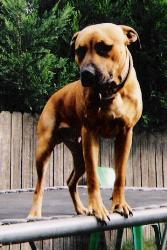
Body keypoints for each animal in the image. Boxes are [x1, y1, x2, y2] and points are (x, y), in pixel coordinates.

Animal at [28, 23, 142, 221]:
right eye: (79, 51)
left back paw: (81, 209)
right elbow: (93, 178)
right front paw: (97, 208)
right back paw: (35, 214)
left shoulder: (125, 134)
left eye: (104, 47)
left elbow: (120, 176)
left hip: (79, 155)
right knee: (39, 186)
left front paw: (119, 204)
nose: (87, 73)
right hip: (44, 150)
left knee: (70, 181)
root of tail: (54, 96)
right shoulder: (90, 133)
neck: (110, 92)